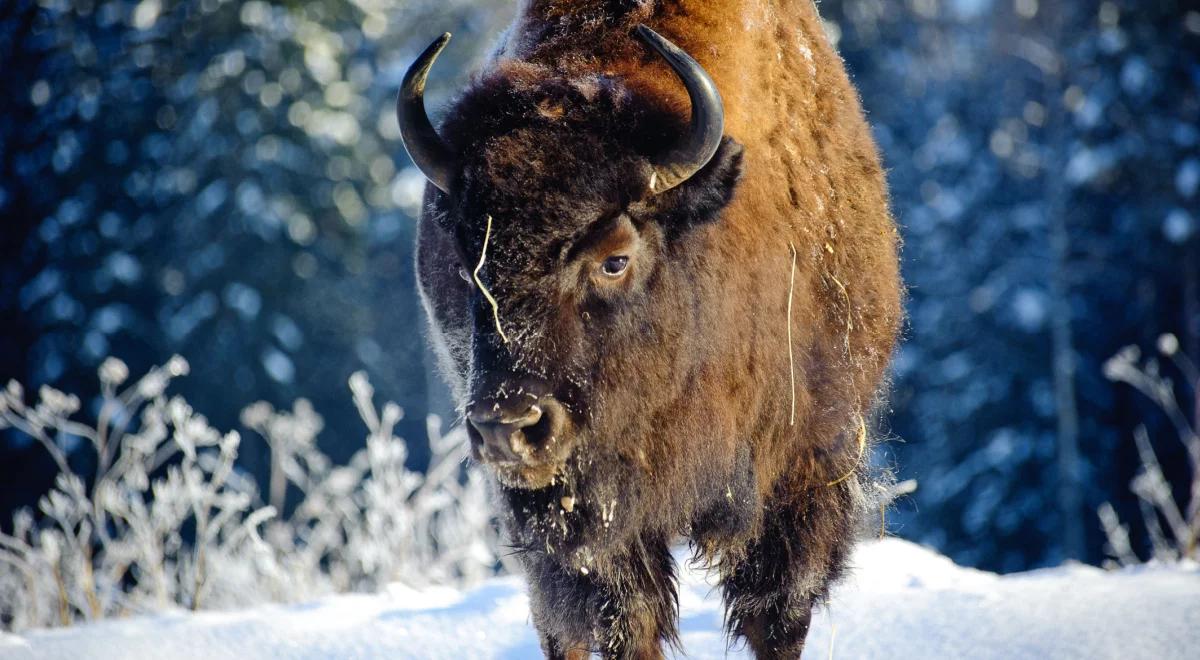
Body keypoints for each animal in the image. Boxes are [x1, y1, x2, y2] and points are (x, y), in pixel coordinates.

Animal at [400, 1, 902, 660]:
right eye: (467, 264)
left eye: (615, 259)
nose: (507, 426)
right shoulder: (598, 526)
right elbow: (625, 619)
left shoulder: (803, 477)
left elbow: (777, 616)